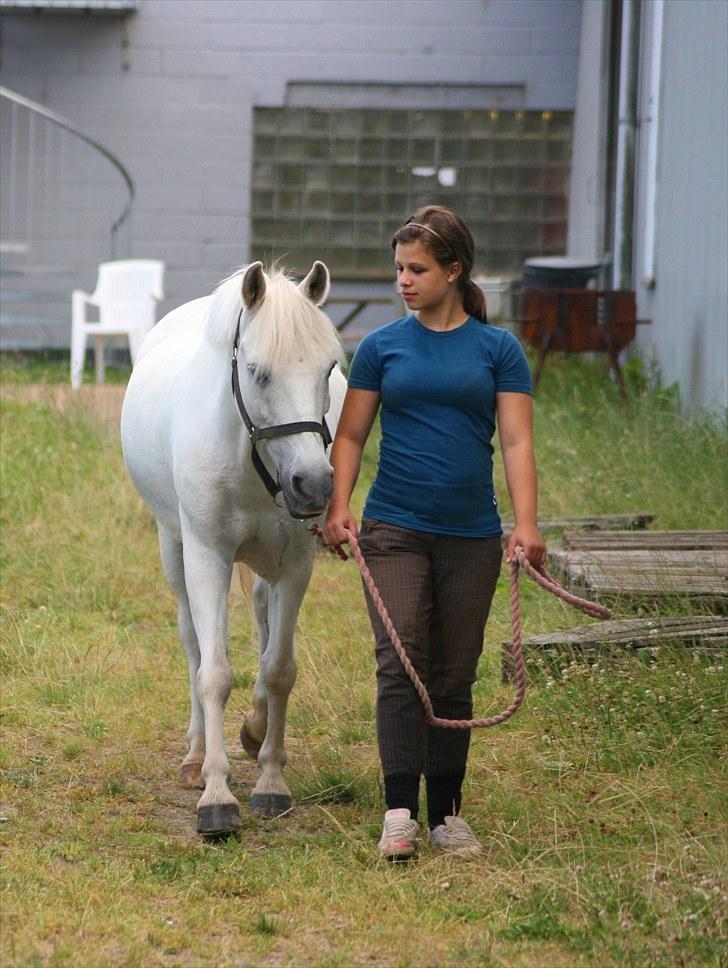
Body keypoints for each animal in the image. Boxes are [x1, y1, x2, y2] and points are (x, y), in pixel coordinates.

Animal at [120, 260, 346, 836]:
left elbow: (279, 668)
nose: (313, 484)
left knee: (264, 625)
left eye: (328, 369)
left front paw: (270, 778)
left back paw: (254, 729)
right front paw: (216, 794)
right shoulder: (207, 558)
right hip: (174, 550)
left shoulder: (296, 564)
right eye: (259, 373)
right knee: (193, 642)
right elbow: (214, 672)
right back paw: (196, 755)